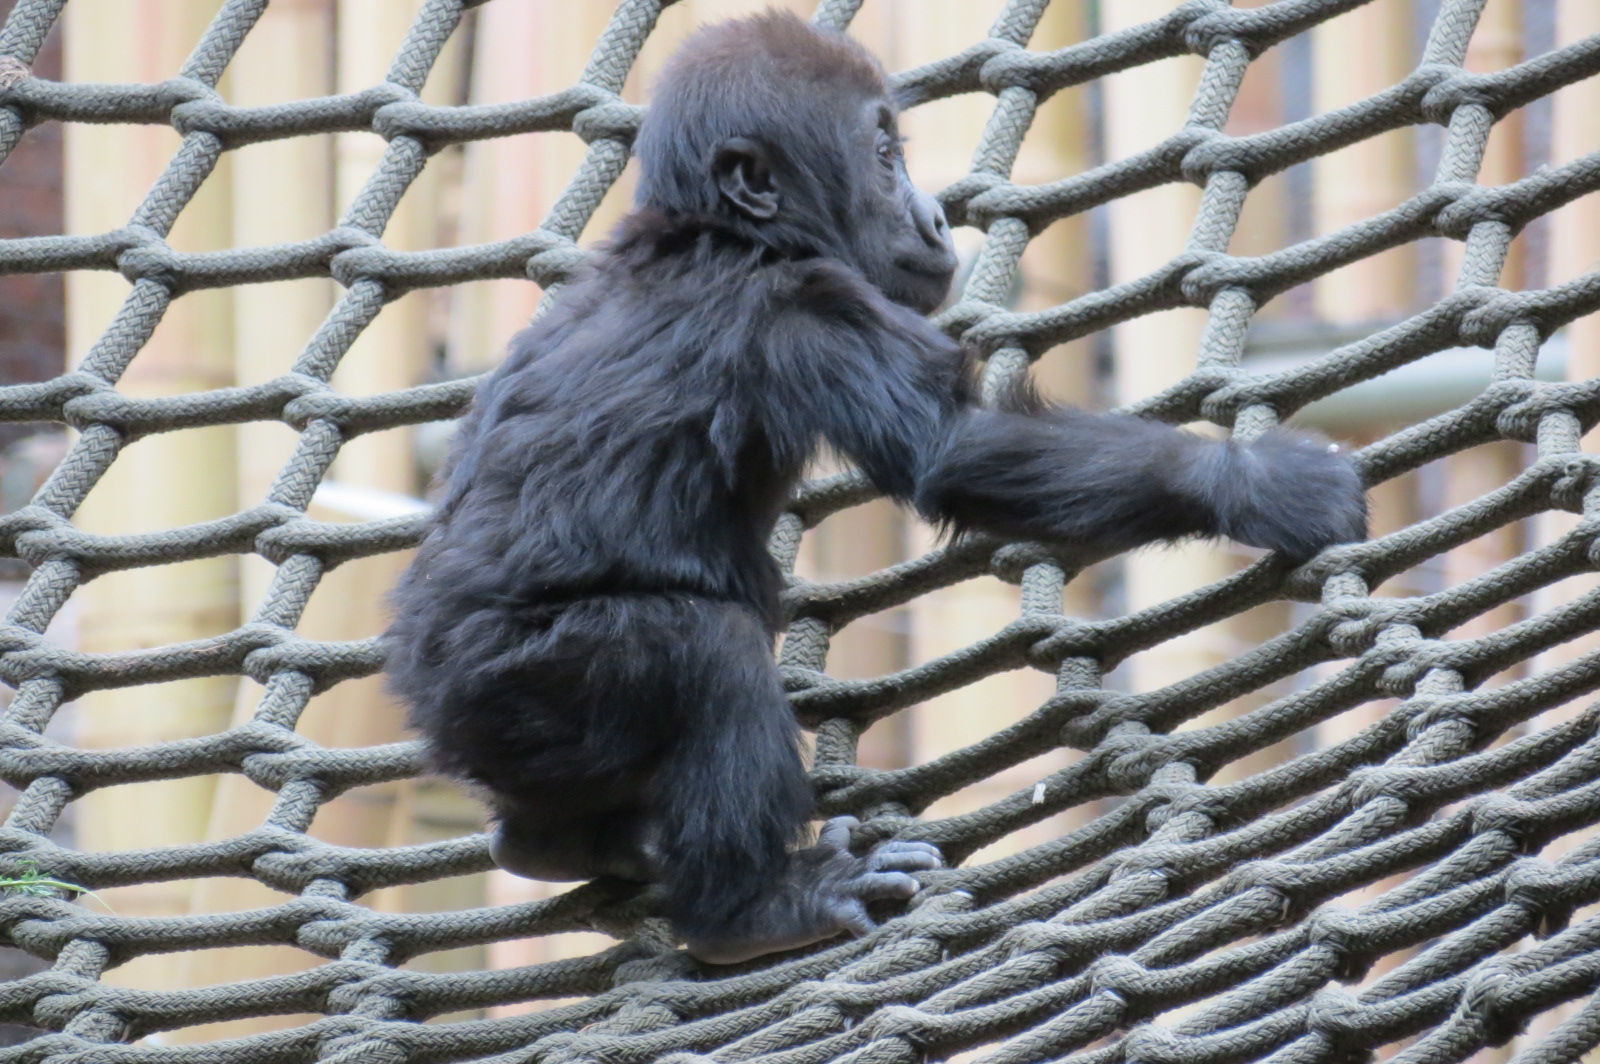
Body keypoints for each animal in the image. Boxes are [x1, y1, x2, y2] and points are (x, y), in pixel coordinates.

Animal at [385, 12, 1367, 964]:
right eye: (885, 156)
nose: (932, 214)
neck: (730, 234)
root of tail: (430, 709)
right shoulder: (809, 312)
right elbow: (954, 450)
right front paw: (1256, 485)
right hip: (519, 683)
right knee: (704, 654)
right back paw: (755, 908)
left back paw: (556, 842)